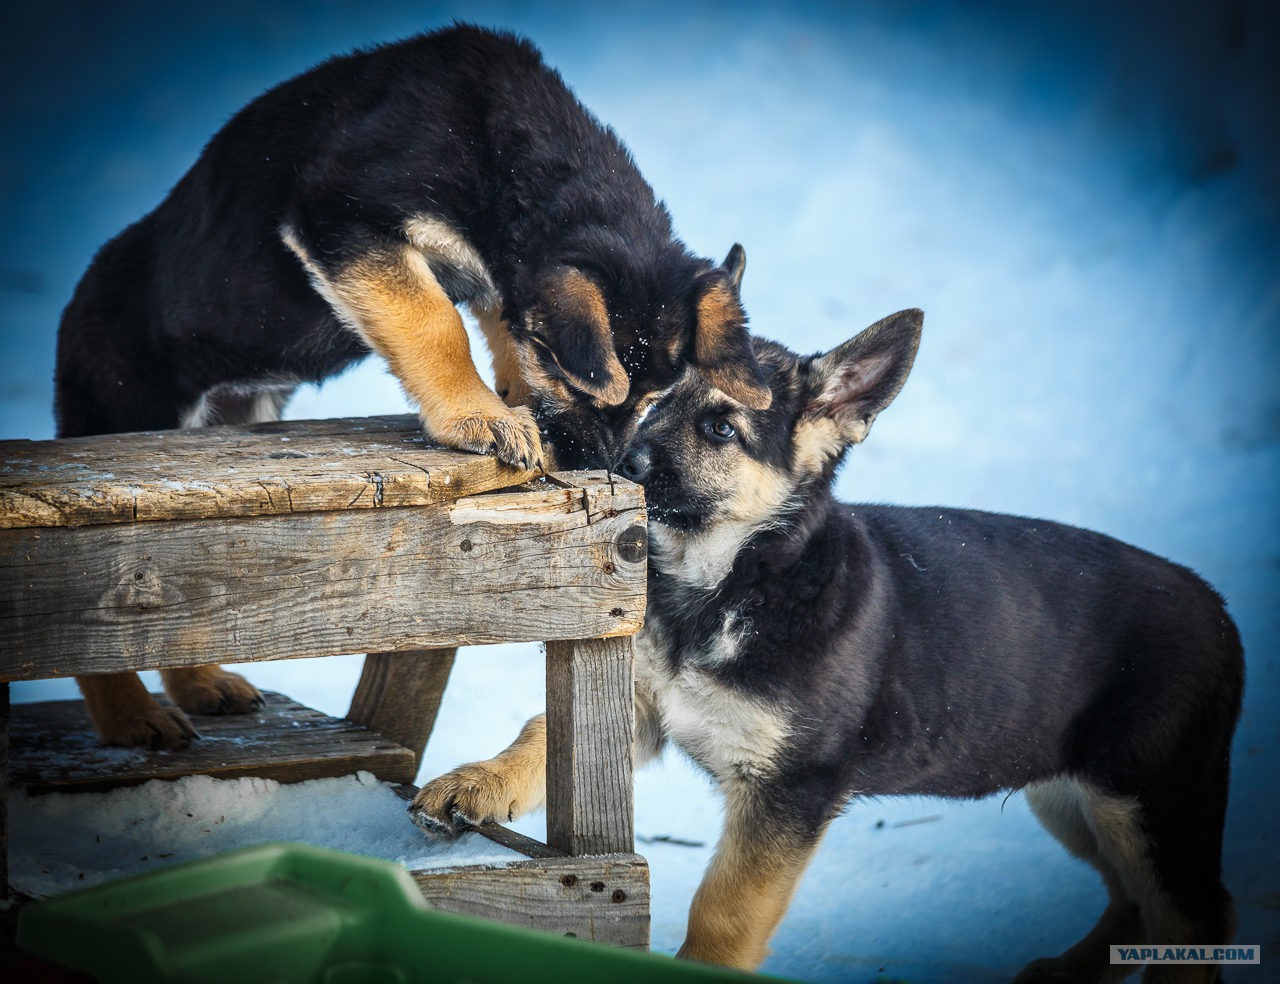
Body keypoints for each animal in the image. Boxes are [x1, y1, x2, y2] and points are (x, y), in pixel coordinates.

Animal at [55, 23, 762, 747]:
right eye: (587, 387)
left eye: (652, 399)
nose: (597, 465)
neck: (500, 149)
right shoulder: (342, 216)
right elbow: (435, 319)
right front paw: (482, 416)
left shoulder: (494, 273)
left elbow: (499, 320)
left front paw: (509, 398)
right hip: (120, 409)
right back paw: (129, 715)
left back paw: (199, 684)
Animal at [414, 309, 1244, 982]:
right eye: (652, 404)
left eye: (720, 429)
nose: (618, 464)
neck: (728, 586)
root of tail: (1219, 606)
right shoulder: (645, 709)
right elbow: (539, 738)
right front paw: (473, 783)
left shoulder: (790, 790)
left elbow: (724, 911)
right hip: (1068, 791)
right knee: (1134, 903)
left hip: (1142, 796)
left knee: (1197, 913)